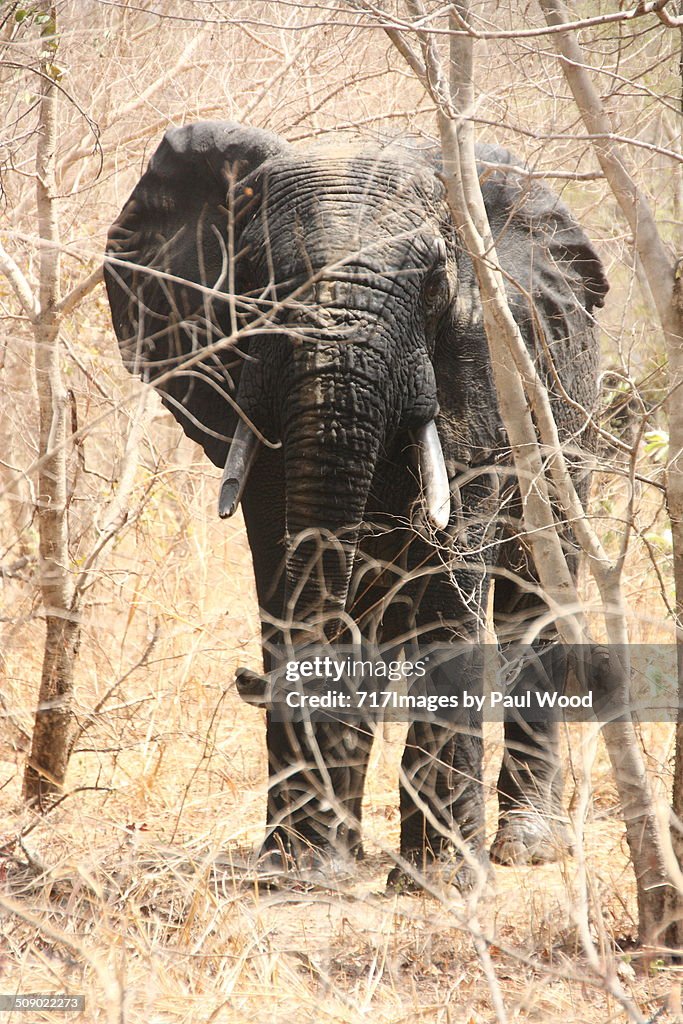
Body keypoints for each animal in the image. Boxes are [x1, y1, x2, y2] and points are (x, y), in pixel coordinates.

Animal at [107, 117, 610, 888]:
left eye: (434, 280)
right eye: (258, 279)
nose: (249, 680)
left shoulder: (486, 365)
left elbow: (452, 562)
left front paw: (440, 883)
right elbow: (284, 559)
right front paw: (300, 871)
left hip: (566, 415)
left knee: (536, 584)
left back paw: (528, 848)